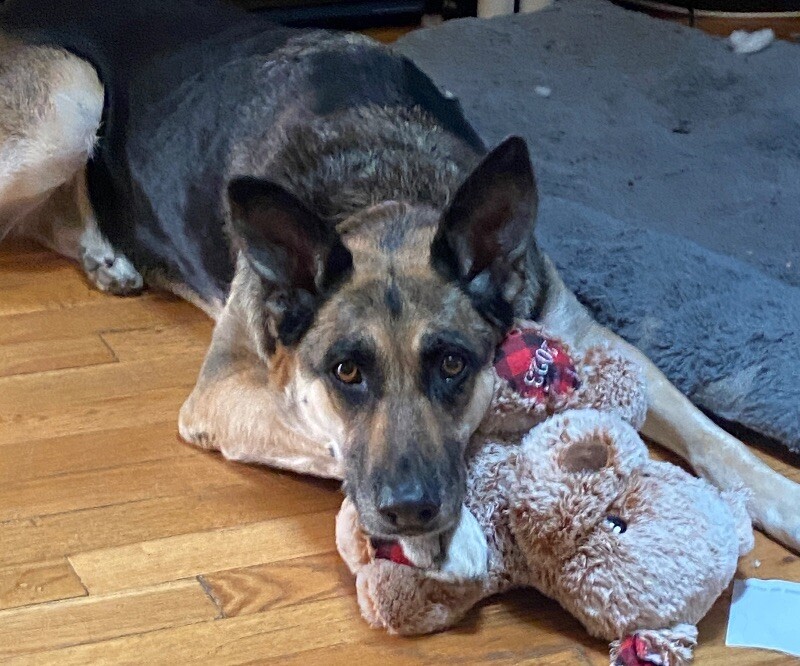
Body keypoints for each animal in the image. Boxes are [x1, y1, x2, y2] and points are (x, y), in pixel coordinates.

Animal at [0, 0, 796, 548]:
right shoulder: (225, 388)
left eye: (451, 365)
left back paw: (105, 254)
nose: (411, 511)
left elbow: (712, 436)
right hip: (73, 96)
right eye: (347, 373)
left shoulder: (593, 336)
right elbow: (318, 429)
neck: (387, 192)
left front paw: (783, 498)